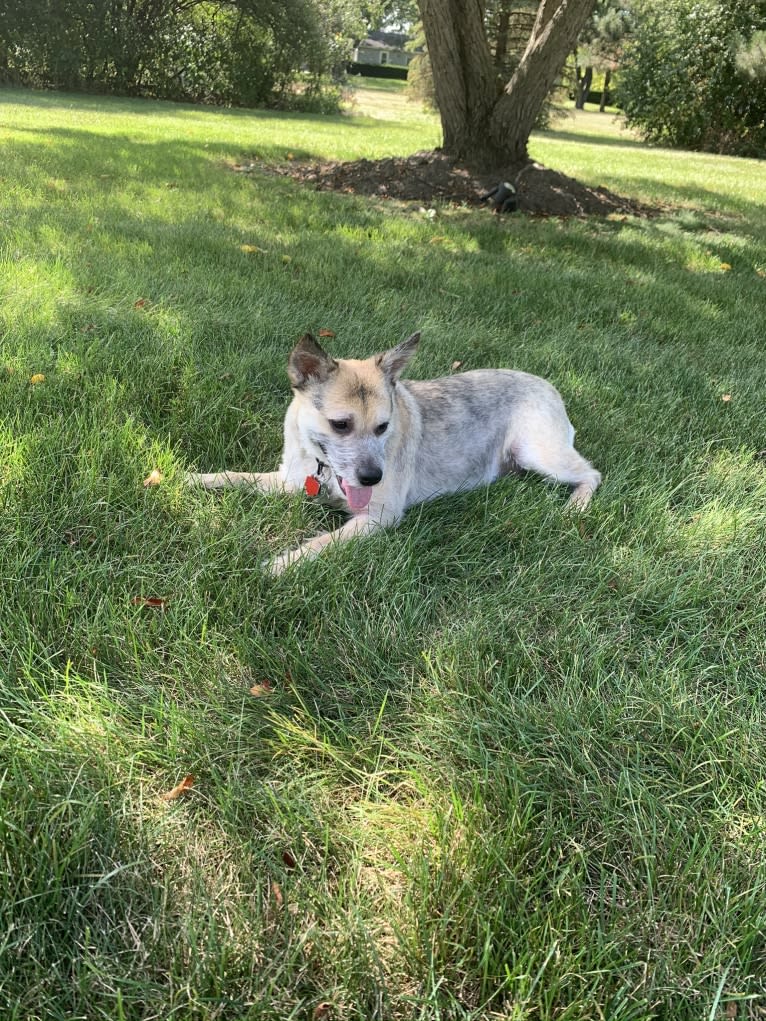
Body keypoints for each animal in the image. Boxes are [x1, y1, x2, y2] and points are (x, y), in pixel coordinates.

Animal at [188, 334, 604, 575]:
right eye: (341, 425)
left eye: (383, 427)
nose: (374, 477)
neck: (323, 471)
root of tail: (549, 387)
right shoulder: (289, 480)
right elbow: (234, 476)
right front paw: (190, 478)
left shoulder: (378, 517)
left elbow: (323, 541)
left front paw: (282, 563)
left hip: (538, 451)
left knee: (592, 473)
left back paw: (577, 507)